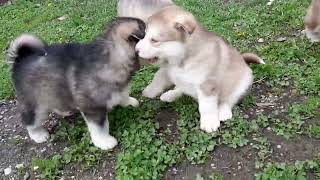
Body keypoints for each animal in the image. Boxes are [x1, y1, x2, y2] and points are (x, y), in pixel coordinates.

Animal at [7, 16, 145, 150]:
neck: (111, 58)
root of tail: (20, 60)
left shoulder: (120, 87)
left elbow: (123, 94)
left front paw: (129, 102)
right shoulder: (93, 107)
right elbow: (100, 127)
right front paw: (104, 141)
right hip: (35, 103)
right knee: (31, 122)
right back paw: (39, 135)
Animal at [136, 5, 264, 132]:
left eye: (154, 40)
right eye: (144, 35)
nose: (136, 50)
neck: (180, 60)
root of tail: (243, 60)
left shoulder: (207, 85)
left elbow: (206, 106)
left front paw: (209, 122)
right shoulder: (168, 69)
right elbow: (158, 77)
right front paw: (149, 91)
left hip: (242, 83)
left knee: (229, 99)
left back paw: (224, 112)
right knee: (181, 88)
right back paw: (170, 94)